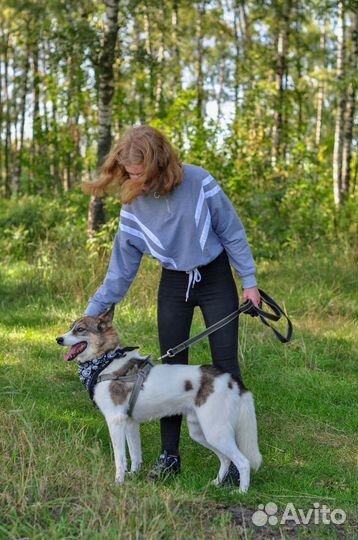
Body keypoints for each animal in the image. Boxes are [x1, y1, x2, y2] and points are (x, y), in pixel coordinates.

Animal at [57, 306, 262, 492]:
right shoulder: (129, 423)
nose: (58, 339)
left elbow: (120, 458)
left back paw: (241, 492)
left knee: (243, 461)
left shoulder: (115, 421)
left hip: (215, 431)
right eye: (70, 327)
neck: (106, 362)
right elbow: (135, 455)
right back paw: (216, 484)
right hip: (201, 432)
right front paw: (133, 476)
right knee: (226, 459)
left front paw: (118, 483)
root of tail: (230, 379)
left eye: (80, 329)